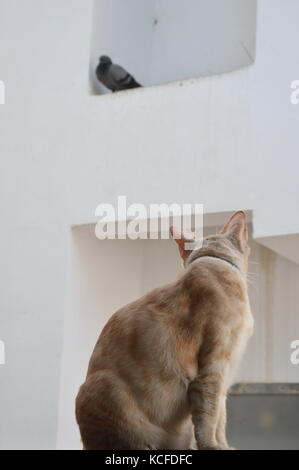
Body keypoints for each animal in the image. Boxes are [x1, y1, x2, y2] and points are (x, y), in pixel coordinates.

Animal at [75, 211, 253, 450]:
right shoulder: (213, 368)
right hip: (103, 388)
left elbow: (220, 419)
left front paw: (224, 446)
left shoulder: (226, 375)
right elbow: (208, 417)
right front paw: (213, 446)